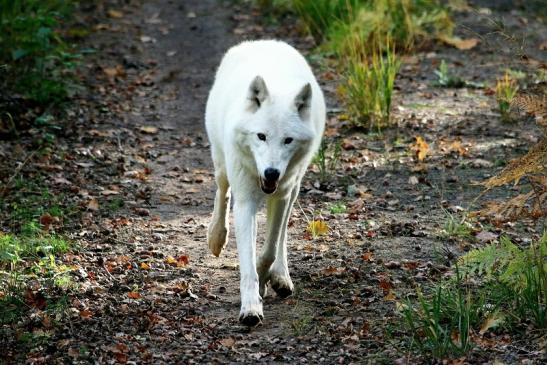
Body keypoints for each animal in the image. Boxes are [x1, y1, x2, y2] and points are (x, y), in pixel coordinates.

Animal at [206, 40, 326, 328]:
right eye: (260, 136)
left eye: (288, 140)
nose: (271, 173)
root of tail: (265, 41)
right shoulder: (245, 202)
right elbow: (247, 263)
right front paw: (250, 307)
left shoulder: (281, 195)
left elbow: (270, 249)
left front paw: (265, 279)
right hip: (222, 163)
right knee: (222, 192)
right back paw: (216, 237)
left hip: (294, 188)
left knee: (281, 237)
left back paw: (281, 276)